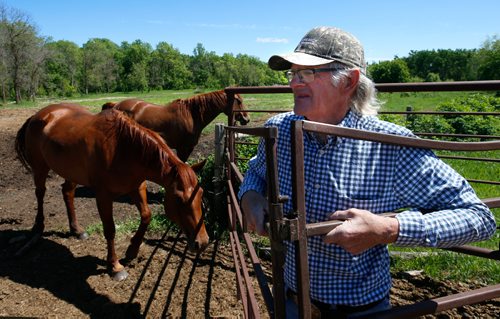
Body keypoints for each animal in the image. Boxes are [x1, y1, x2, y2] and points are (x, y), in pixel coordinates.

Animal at [14, 104, 208, 282]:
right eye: (178, 199)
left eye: (201, 194)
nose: (203, 242)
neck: (123, 149)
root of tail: (38, 115)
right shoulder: (103, 196)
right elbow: (110, 229)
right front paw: (115, 266)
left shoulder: (137, 187)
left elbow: (146, 216)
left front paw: (132, 251)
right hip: (40, 167)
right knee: (40, 193)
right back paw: (37, 229)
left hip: (71, 172)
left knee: (67, 192)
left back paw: (76, 230)